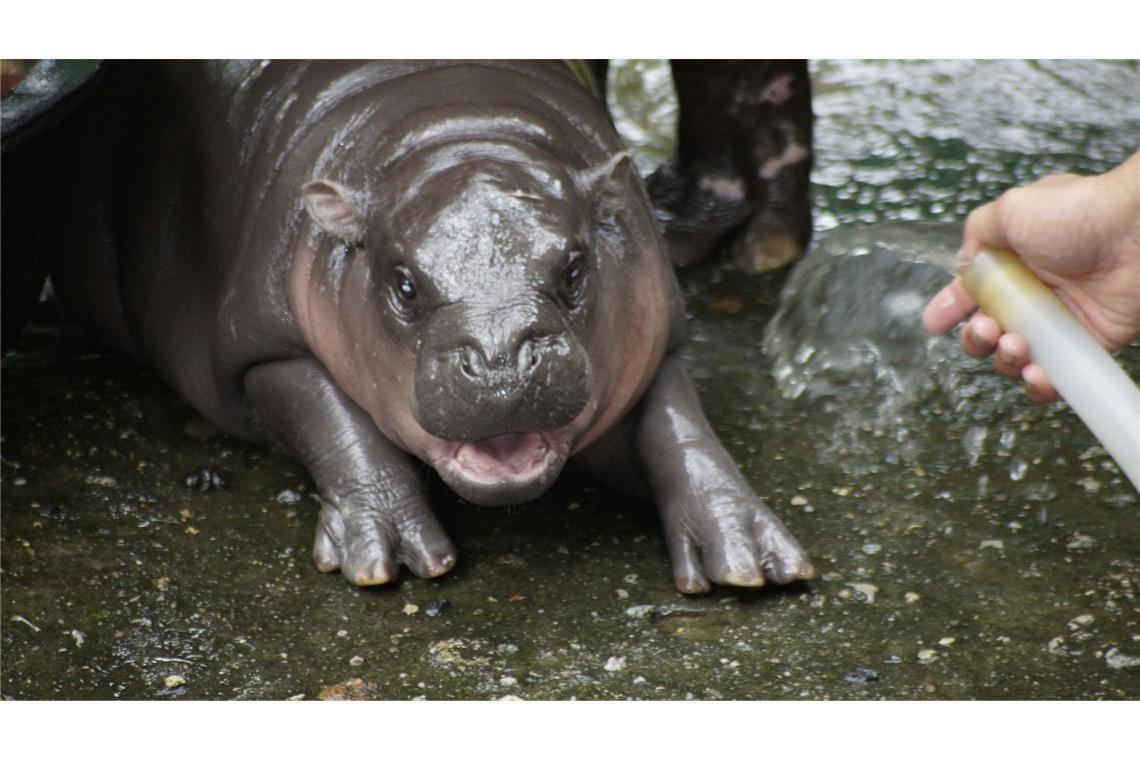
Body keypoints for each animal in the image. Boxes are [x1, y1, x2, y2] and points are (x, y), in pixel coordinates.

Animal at [28, 60, 811, 592]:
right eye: (403, 283)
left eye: (575, 268)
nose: (501, 361)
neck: (459, 126)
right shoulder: (259, 352)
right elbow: (329, 416)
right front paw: (389, 555)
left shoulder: (654, 333)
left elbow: (678, 424)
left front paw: (749, 555)